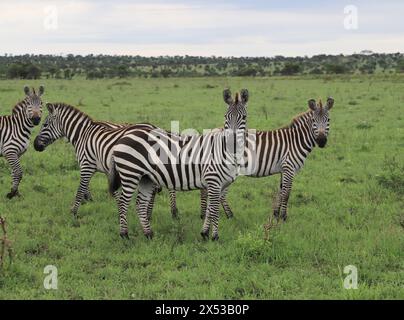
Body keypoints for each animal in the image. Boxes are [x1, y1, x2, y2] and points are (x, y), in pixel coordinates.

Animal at [33, 102, 163, 218]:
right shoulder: (107, 169)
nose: (35, 145)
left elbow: (80, 189)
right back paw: (149, 215)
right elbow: (115, 193)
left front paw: (74, 213)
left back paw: (148, 215)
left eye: (44, 124)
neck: (82, 135)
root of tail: (154, 128)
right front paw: (119, 212)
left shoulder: (87, 165)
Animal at [109, 88, 248, 240]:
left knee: (140, 204)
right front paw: (215, 237)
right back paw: (124, 234)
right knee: (123, 202)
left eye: (244, 117)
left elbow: (210, 209)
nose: (231, 141)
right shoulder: (213, 181)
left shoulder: (220, 185)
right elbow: (215, 210)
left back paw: (149, 234)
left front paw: (204, 233)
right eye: (226, 116)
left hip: (146, 178)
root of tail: (123, 136)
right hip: (130, 173)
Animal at [199, 97, 334, 221]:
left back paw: (213, 215)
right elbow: (286, 194)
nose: (322, 141)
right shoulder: (289, 168)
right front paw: (283, 217)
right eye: (313, 120)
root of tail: (211, 131)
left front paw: (276, 214)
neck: (296, 140)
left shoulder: (284, 169)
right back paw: (225, 215)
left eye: (328, 120)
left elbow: (281, 191)